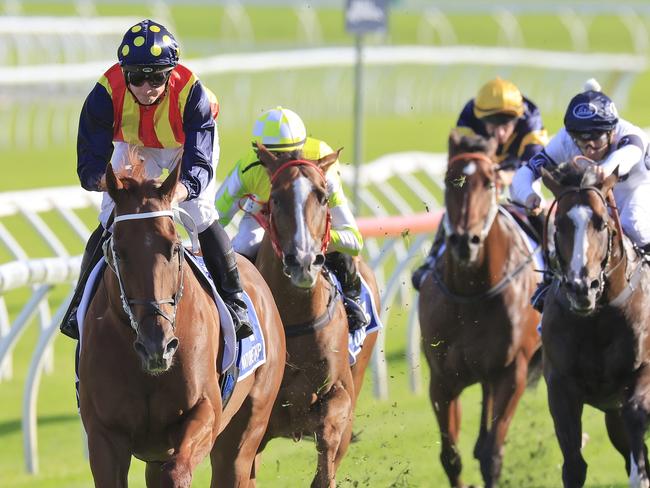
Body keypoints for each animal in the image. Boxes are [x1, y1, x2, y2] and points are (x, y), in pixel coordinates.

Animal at [78, 157, 286, 488]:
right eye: (118, 252)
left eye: (174, 246)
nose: (157, 346)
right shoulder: (104, 434)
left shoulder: (204, 411)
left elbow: (177, 471)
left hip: (248, 426)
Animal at [249, 145, 380, 488]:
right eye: (276, 198)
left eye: (322, 196)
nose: (303, 262)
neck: (294, 321)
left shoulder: (340, 399)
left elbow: (328, 440)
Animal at [418, 132, 540, 486]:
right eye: (449, 179)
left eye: (489, 182)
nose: (464, 241)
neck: (471, 294)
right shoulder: (442, 380)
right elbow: (451, 458)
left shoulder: (512, 373)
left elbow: (492, 456)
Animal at [540, 161, 648, 488]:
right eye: (560, 224)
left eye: (601, 223)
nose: (581, 287)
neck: (596, 320)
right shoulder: (560, 386)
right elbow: (574, 466)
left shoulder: (643, 372)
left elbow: (636, 415)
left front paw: (641, 476)